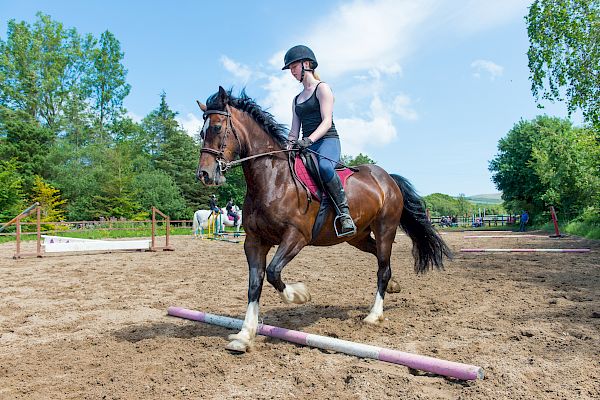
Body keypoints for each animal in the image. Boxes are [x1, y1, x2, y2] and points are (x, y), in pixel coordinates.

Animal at [197, 87, 450, 354]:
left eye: (216, 128)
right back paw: (393, 286)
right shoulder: (254, 242)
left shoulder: (296, 236)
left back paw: (374, 315)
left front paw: (300, 295)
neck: (273, 179)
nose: (204, 174)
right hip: (357, 236)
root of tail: (387, 178)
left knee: (383, 267)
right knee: (381, 261)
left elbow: (274, 272)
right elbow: (255, 284)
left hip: (385, 229)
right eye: (201, 132)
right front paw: (244, 335)